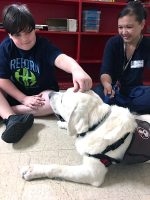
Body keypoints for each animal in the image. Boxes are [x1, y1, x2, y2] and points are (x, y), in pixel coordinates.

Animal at [21, 88, 150, 187]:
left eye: (62, 100)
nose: (49, 94)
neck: (98, 124)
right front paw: (63, 124)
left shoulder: (92, 173)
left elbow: (58, 168)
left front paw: (32, 170)